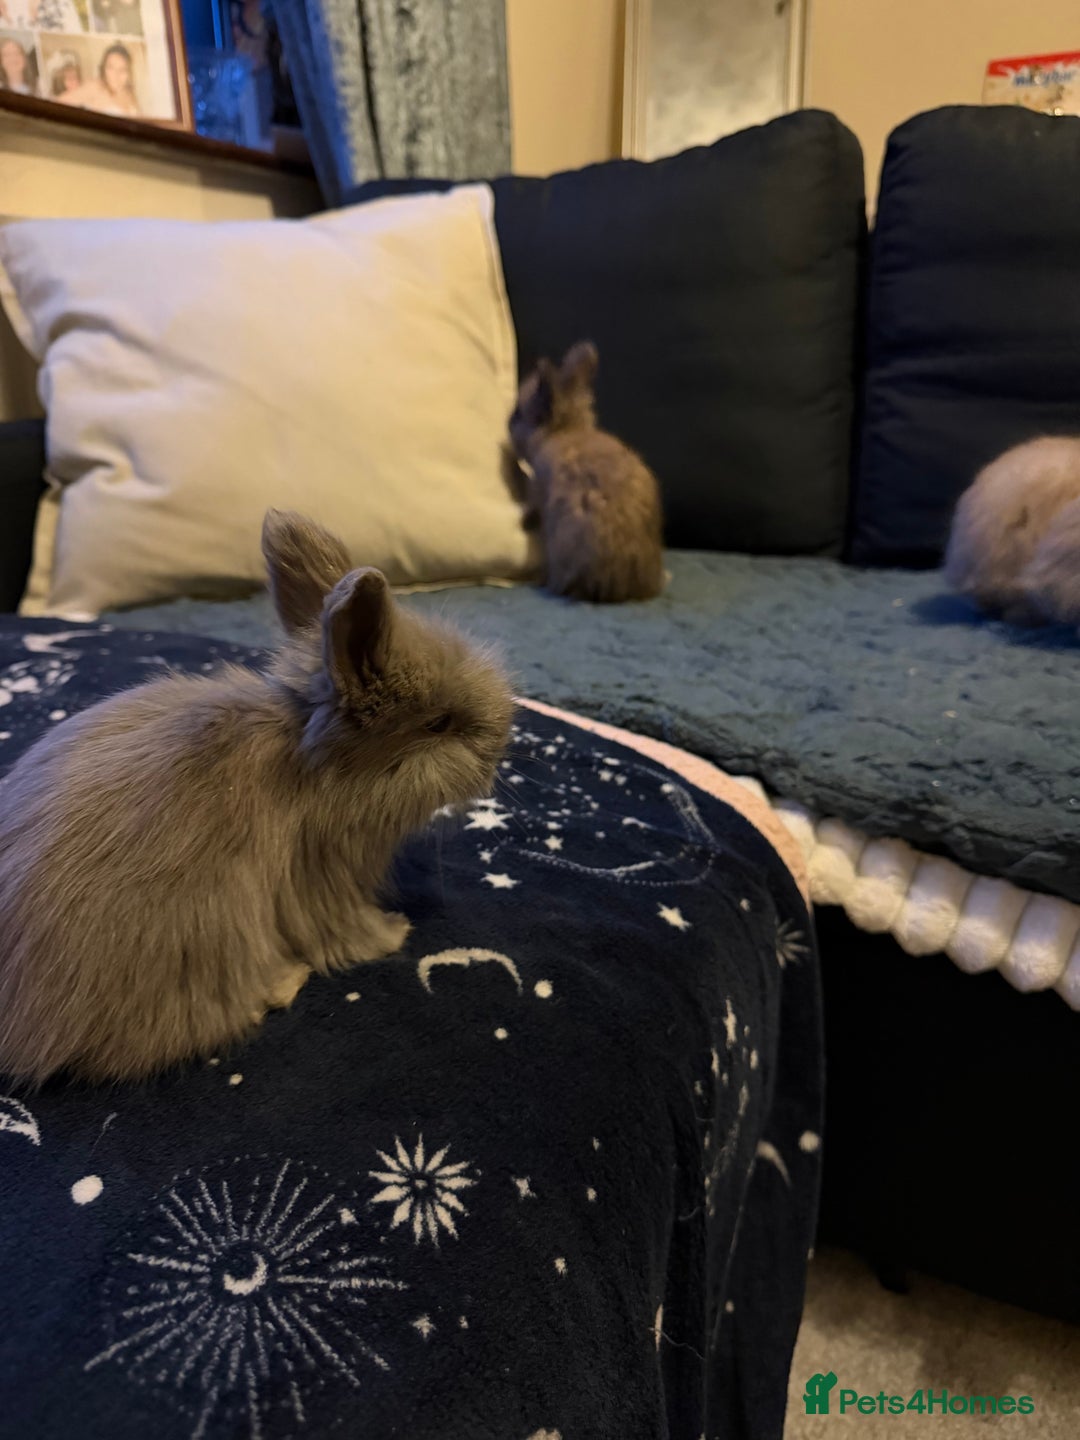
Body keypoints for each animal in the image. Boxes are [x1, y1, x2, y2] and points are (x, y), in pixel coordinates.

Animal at [0, 510, 513, 1085]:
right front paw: (394, 934)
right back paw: (285, 983)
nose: (503, 744)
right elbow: (345, 932)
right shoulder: (323, 878)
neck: (315, 764)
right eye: (438, 723)